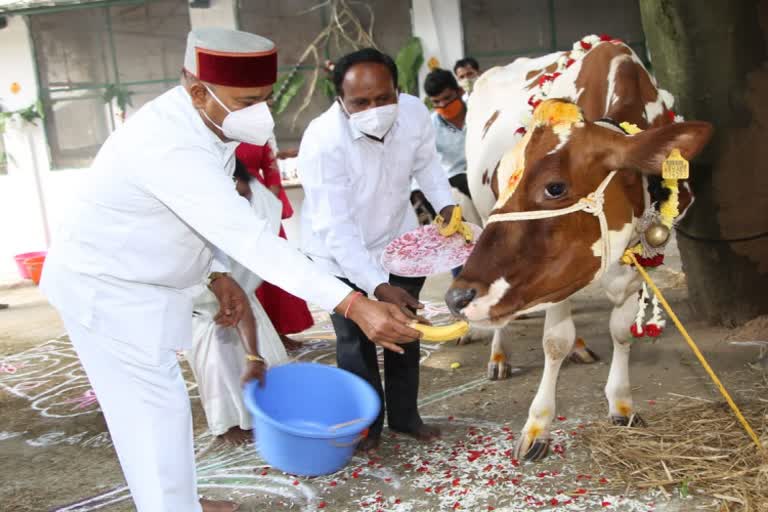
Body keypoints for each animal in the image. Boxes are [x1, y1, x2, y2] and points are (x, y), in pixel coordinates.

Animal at [444, 36, 712, 460]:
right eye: (503, 179)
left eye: (555, 187)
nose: (456, 298)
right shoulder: (555, 275)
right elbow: (554, 341)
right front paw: (538, 426)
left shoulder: (641, 257)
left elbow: (621, 331)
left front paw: (621, 404)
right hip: (481, 217)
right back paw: (500, 356)